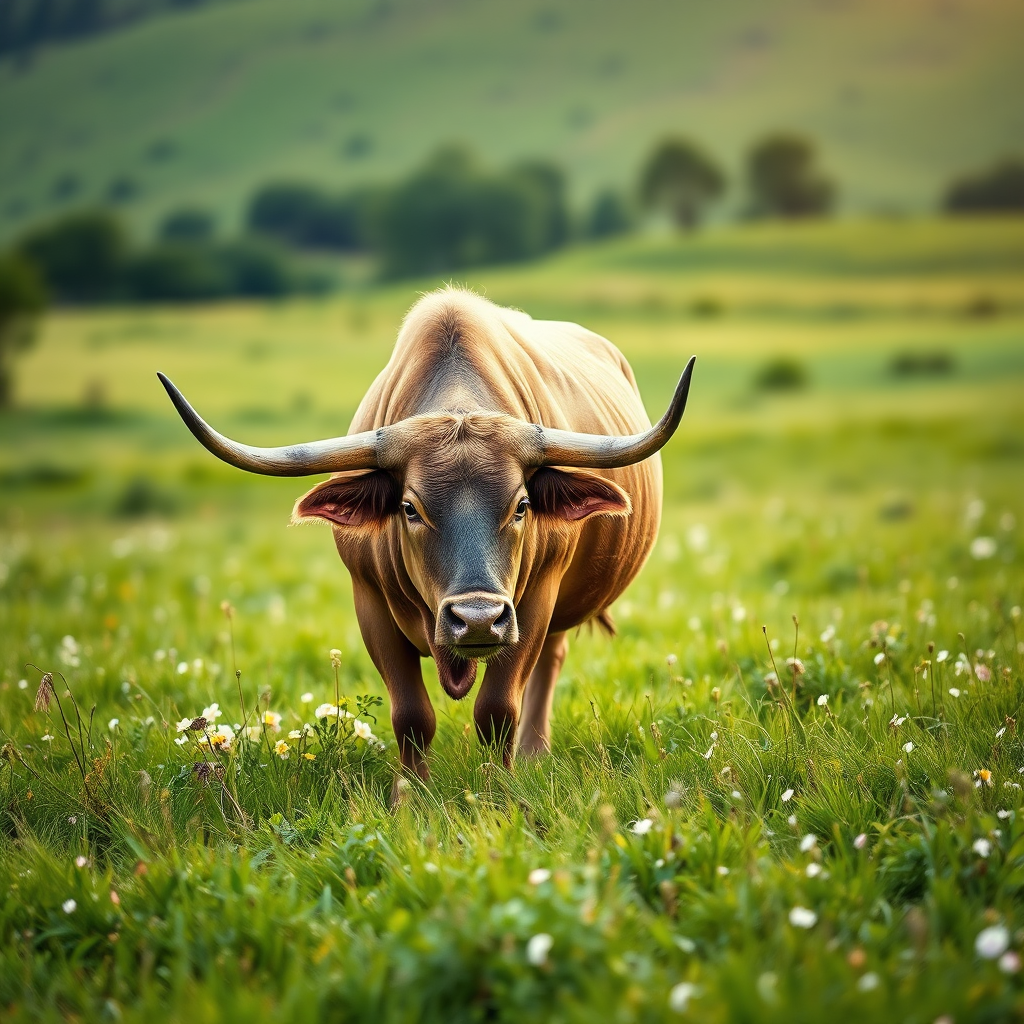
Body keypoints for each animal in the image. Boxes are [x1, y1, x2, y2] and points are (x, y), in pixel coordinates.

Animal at [158, 287, 694, 786]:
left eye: (522, 505)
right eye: (409, 508)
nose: (477, 620)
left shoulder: (533, 603)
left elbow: (497, 709)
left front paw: (500, 788)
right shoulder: (370, 603)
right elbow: (411, 715)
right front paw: (411, 795)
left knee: (548, 663)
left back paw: (533, 753)